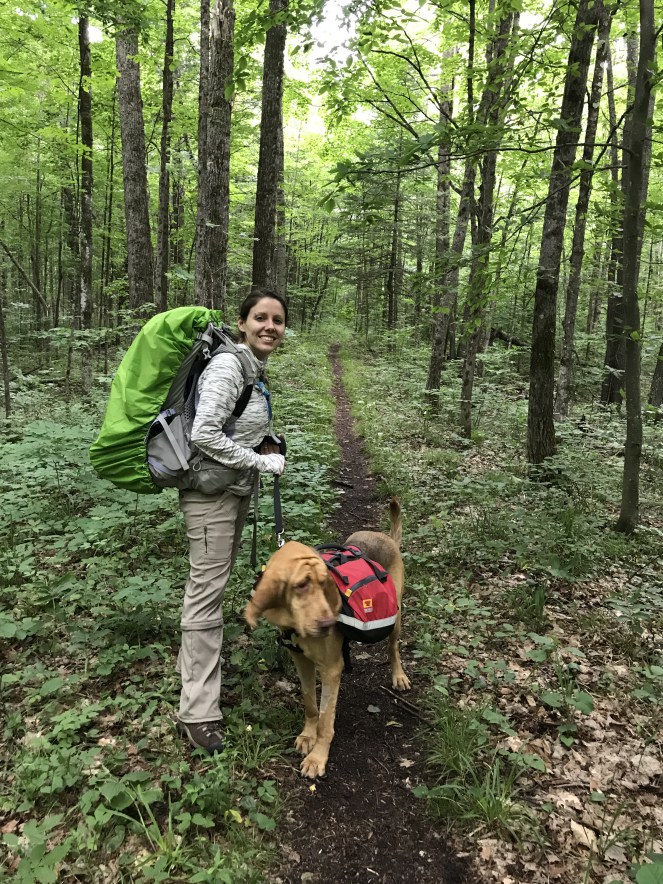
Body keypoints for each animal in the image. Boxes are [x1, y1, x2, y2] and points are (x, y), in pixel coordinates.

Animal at [244, 500, 410, 776]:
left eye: (326, 584)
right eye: (301, 585)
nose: (327, 624)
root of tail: (385, 537)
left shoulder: (331, 669)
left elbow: (325, 720)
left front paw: (317, 757)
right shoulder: (302, 661)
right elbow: (311, 705)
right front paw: (307, 736)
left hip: (395, 618)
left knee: (393, 648)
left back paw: (398, 675)